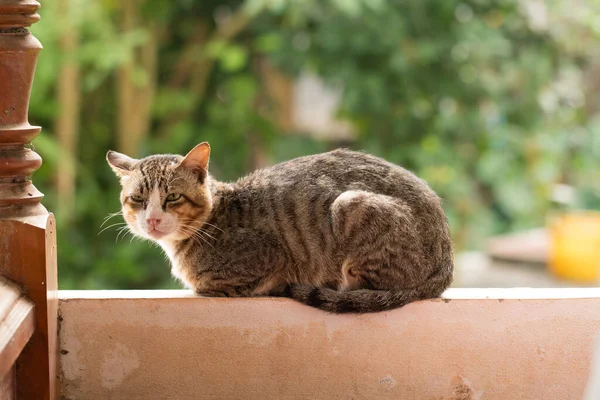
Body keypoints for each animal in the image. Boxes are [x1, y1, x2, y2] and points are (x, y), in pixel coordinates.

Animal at [108, 142, 452, 314]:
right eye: (137, 199)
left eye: (173, 197)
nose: (152, 219)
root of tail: (446, 264)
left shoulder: (265, 262)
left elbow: (212, 286)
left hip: (350, 204)